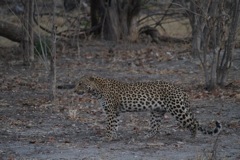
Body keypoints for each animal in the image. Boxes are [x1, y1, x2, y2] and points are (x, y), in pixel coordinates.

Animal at [72, 74, 221, 140]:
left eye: (80, 83)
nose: (74, 90)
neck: (97, 91)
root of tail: (180, 89)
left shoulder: (111, 111)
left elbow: (110, 125)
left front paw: (107, 137)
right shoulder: (116, 112)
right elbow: (115, 125)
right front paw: (113, 136)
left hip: (177, 109)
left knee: (193, 123)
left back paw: (192, 137)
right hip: (156, 111)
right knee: (156, 128)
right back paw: (147, 136)